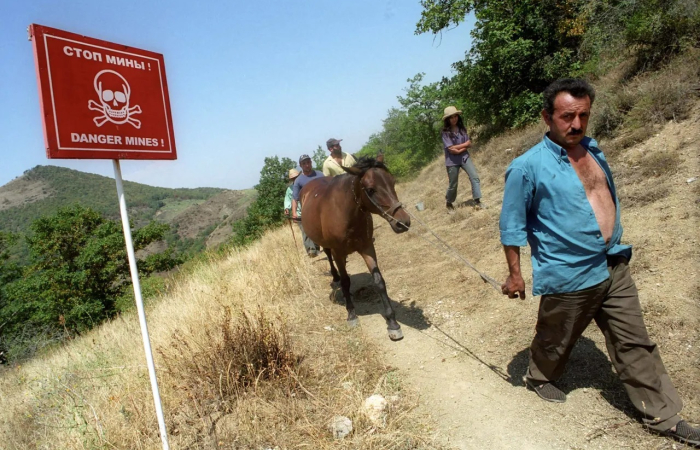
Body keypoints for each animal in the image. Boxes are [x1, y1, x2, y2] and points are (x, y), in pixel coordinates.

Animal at [300, 158, 410, 342]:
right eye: (371, 189)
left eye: (392, 182)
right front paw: (351, 314)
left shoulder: (367, 247)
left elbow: (379, 281)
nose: (403, 222)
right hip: (327, 245)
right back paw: (336, 277)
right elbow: (345, 281)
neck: (346, 213)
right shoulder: (338, 251)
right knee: (330, 258)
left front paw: (393, 323)